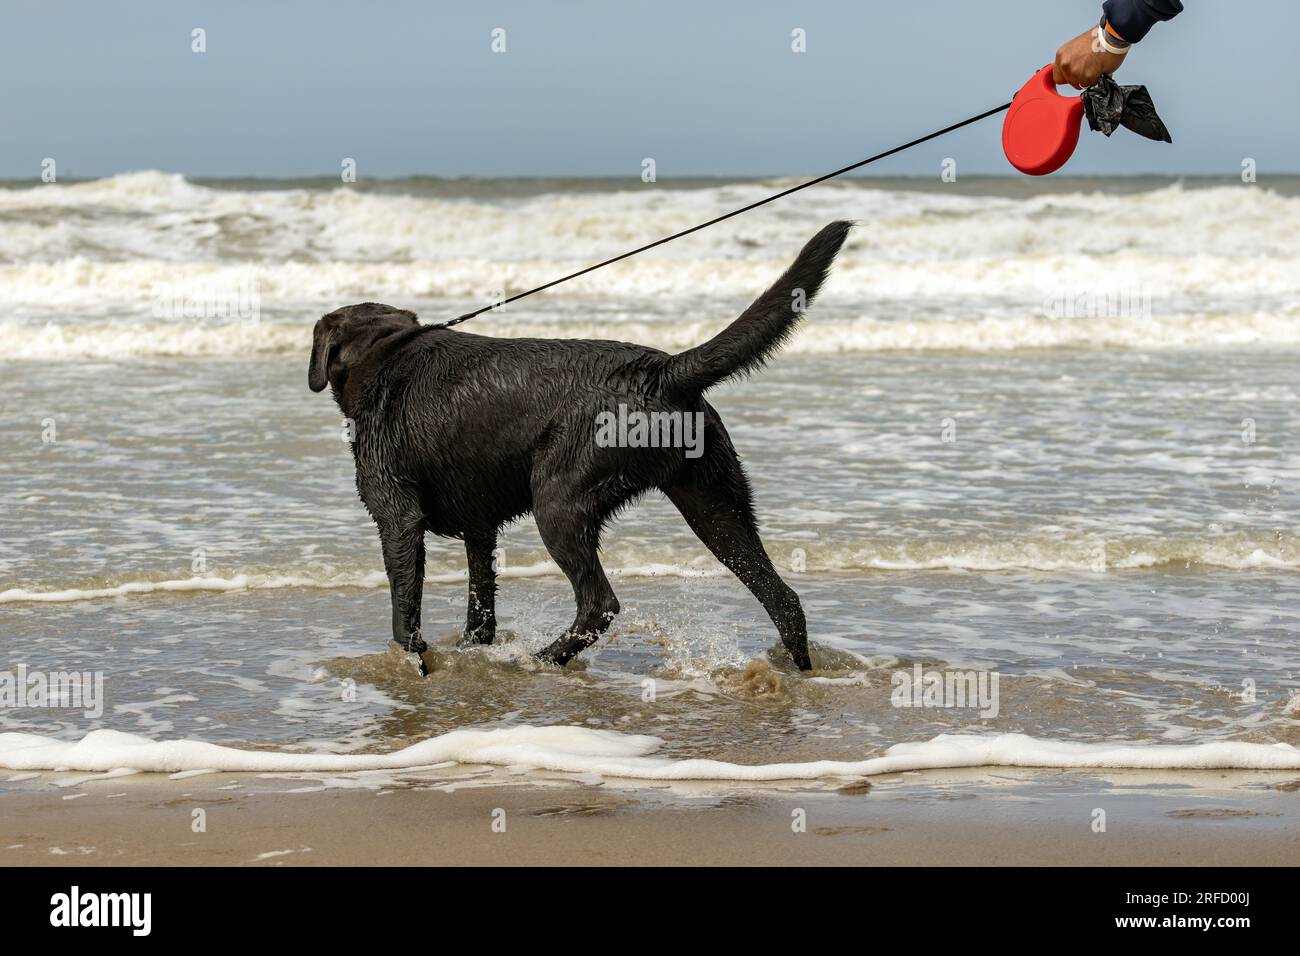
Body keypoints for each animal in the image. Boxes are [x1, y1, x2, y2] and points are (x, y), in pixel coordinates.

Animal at [308, 222, 847, 671]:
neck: (386, 355)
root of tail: (663, 370)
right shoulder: (480, 529)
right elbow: (480, 606)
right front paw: (470, 651)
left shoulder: (398, 519)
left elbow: (405, 609)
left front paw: (415, 662)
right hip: (716, 504)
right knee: (782, 597)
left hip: (560, 500)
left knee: (599, 604)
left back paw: (542, 660)